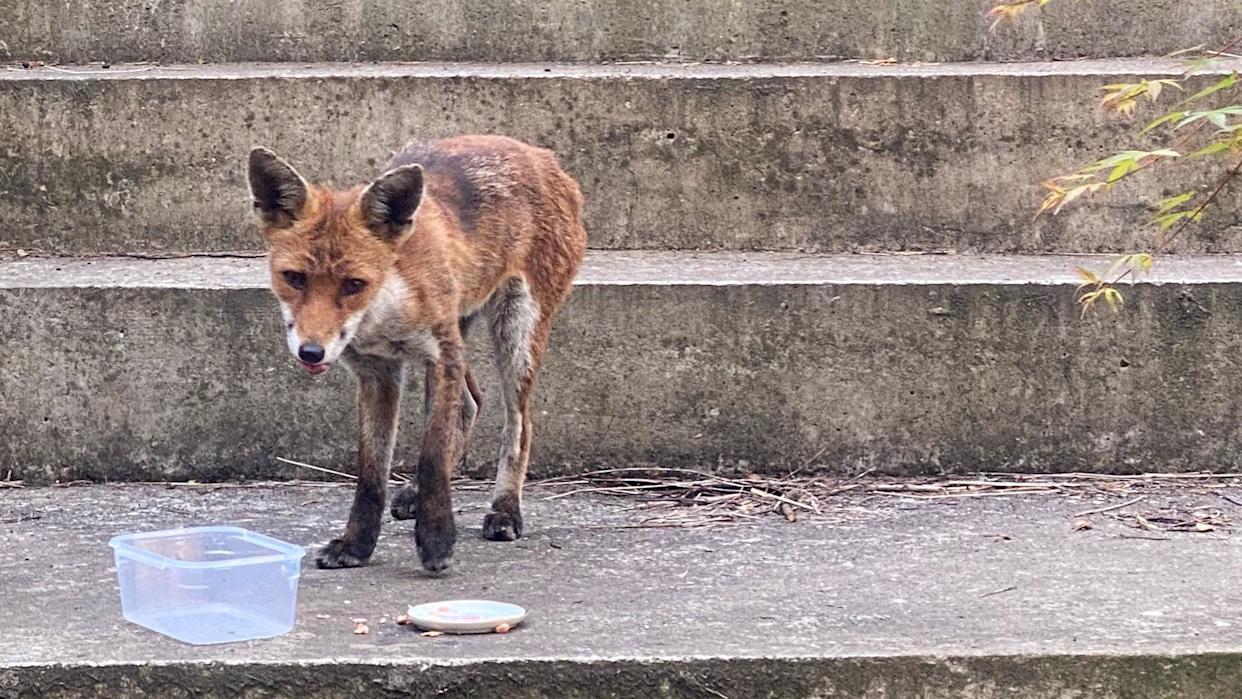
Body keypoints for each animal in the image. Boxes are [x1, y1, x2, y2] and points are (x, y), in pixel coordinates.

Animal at [247, 135, 587, 572]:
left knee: (518, 425)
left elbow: (431, 454)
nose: (311, 352)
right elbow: (371, 473)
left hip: (517, 333)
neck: (383, 316)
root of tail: (539, 154)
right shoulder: (378, 372)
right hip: (462, 331)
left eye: (354, 284)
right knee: (471, 404)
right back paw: (415, 493)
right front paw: (356, 545)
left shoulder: (441, 357)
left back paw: (505, 510)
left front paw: (437, 540)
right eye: (294, 278)